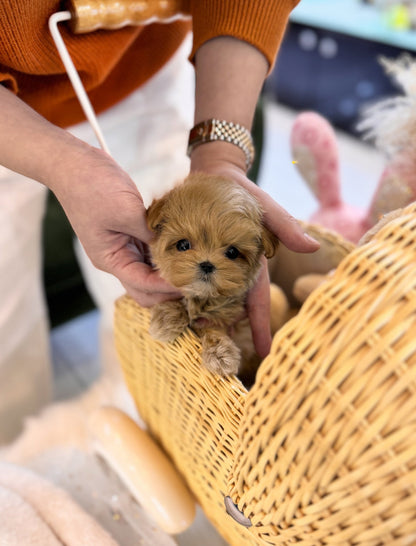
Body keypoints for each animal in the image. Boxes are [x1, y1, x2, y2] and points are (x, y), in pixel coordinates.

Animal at [147, 172, 280, 376]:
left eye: (232, 252)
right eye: (183, 245)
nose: (207, 265)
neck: (203, 297)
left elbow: (214, 327)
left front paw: (221, 354)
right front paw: (166, 319)